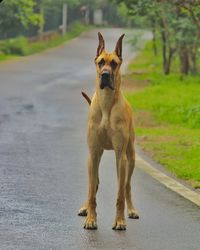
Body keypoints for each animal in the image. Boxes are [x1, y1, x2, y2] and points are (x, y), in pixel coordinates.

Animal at [78, 33, 139, 230]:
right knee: (94, 183)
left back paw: (131, 210)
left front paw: (120, 220)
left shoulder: (121, 156)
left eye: (114, 63)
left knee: (127, 186)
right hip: (94, 158)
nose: (105, 75)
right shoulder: (93, 152)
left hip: (131, 157)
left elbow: (120, 194)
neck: (106, 103)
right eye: (100, 62)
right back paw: (84, 207)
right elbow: (92, 191)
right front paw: (91, 218)